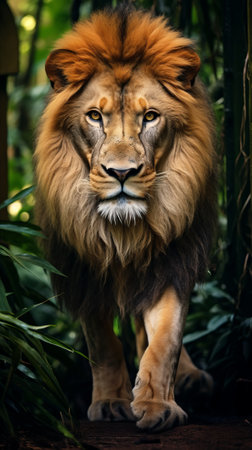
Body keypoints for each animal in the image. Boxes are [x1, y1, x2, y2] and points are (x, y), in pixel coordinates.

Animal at [34, 5, 217, 430]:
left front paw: (156, 404)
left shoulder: (171, 260)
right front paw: (110, 402)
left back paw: (190, 378)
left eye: (149, 117)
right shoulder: (84, 267)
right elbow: (102, 343)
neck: (123, 231)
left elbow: (165, 338)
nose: (122, 173)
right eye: (94, 116)